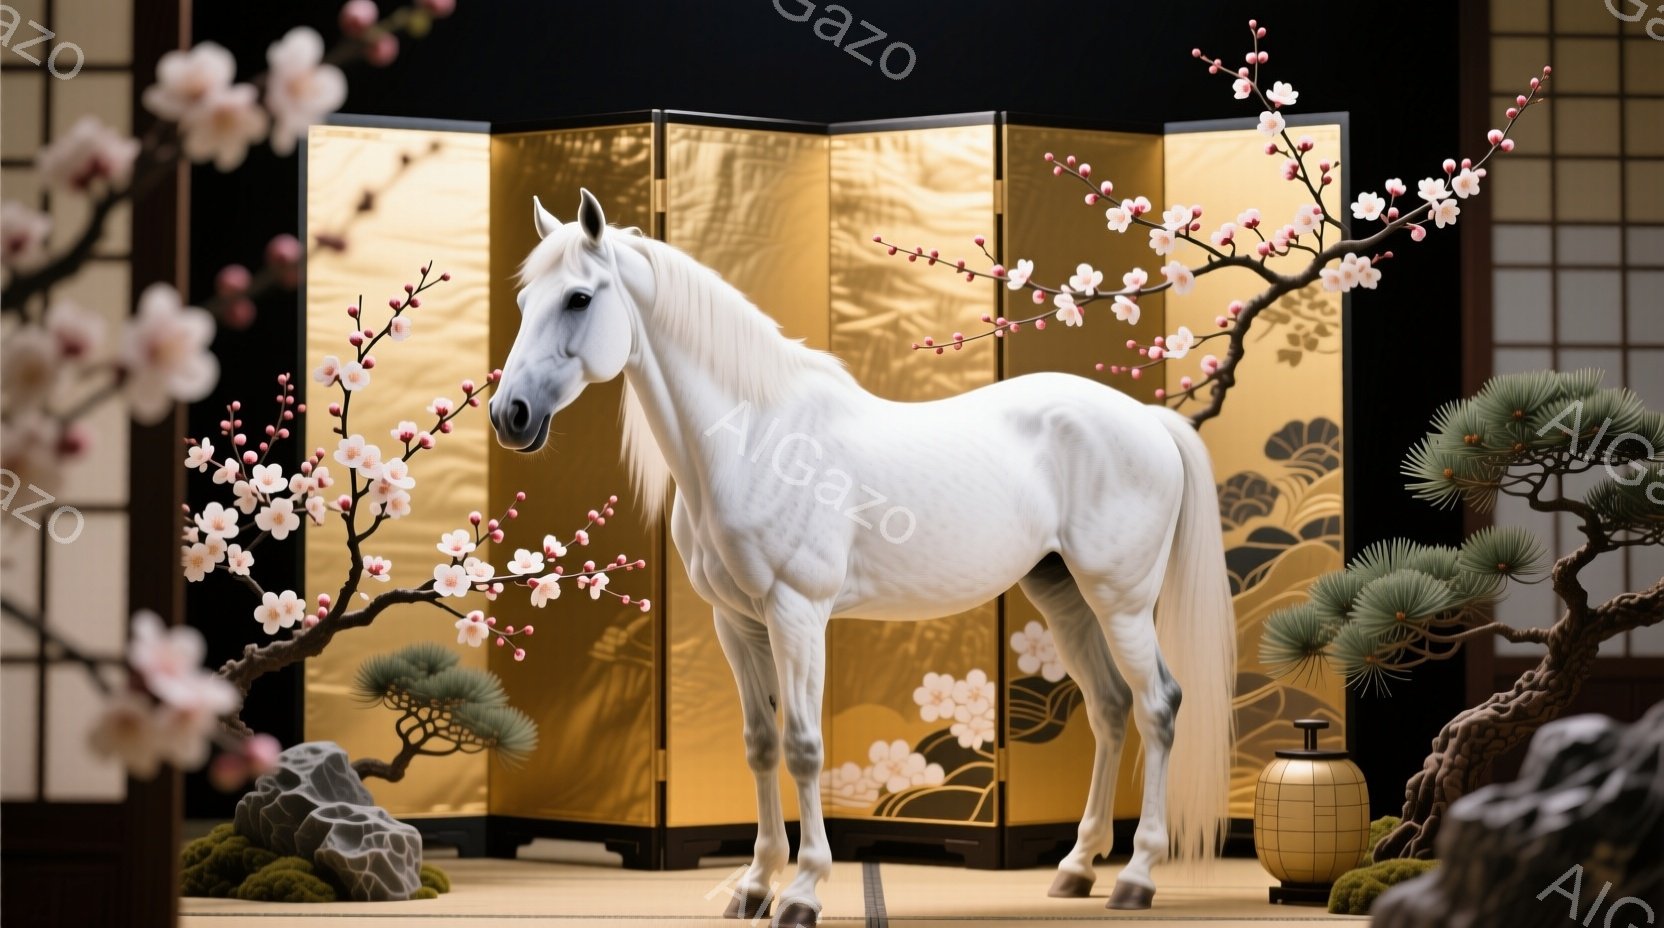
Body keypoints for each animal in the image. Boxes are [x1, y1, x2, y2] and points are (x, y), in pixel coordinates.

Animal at [490, 189, 1236, 927]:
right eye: (524, 300)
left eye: (579, 298)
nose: (509, 415)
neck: (758, 441)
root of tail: (1151, 420)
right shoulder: (736, 622)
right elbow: (760, 746)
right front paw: (753, 887)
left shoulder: (797, 613)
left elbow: (803, 746)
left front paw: (801, 892)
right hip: (1064, 596)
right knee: (1110, 707)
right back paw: (1077, 869)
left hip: (1122, 600)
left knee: (1157, 705)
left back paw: (1135, 876)